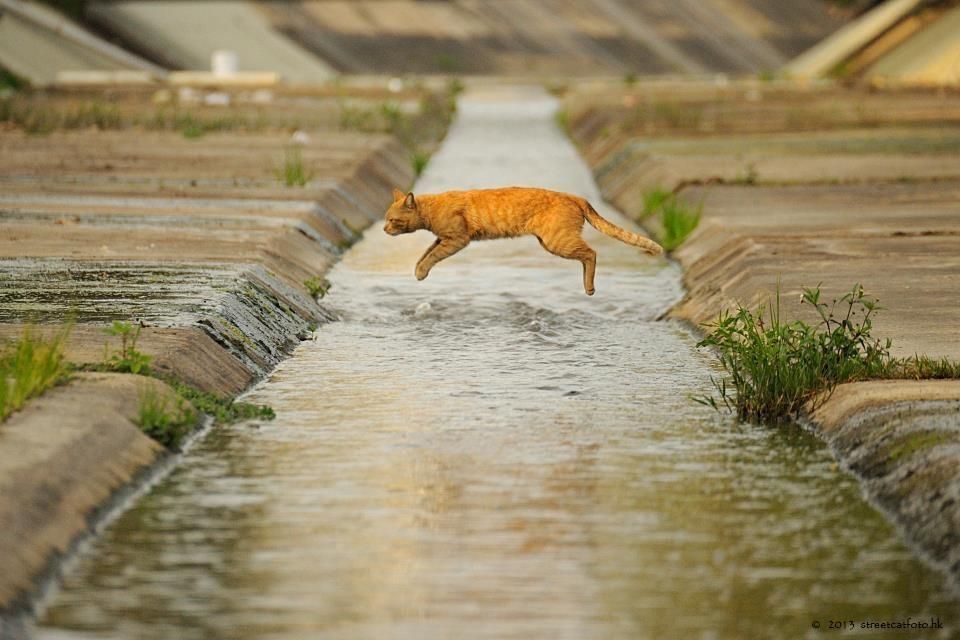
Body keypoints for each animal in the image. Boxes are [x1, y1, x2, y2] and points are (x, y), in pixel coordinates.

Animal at [380, 185, 660, 296]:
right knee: (586, 256)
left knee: (591, 253)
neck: (431, 208)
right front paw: (418, 270)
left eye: (392, 220)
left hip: (557, 242)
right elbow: (425, 254)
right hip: (553, 243)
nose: (383, 229)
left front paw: (421, 273)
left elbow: (432, 256)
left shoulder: (457, 239)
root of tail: (575, 196)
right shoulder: (442, 239)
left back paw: (589, 288)